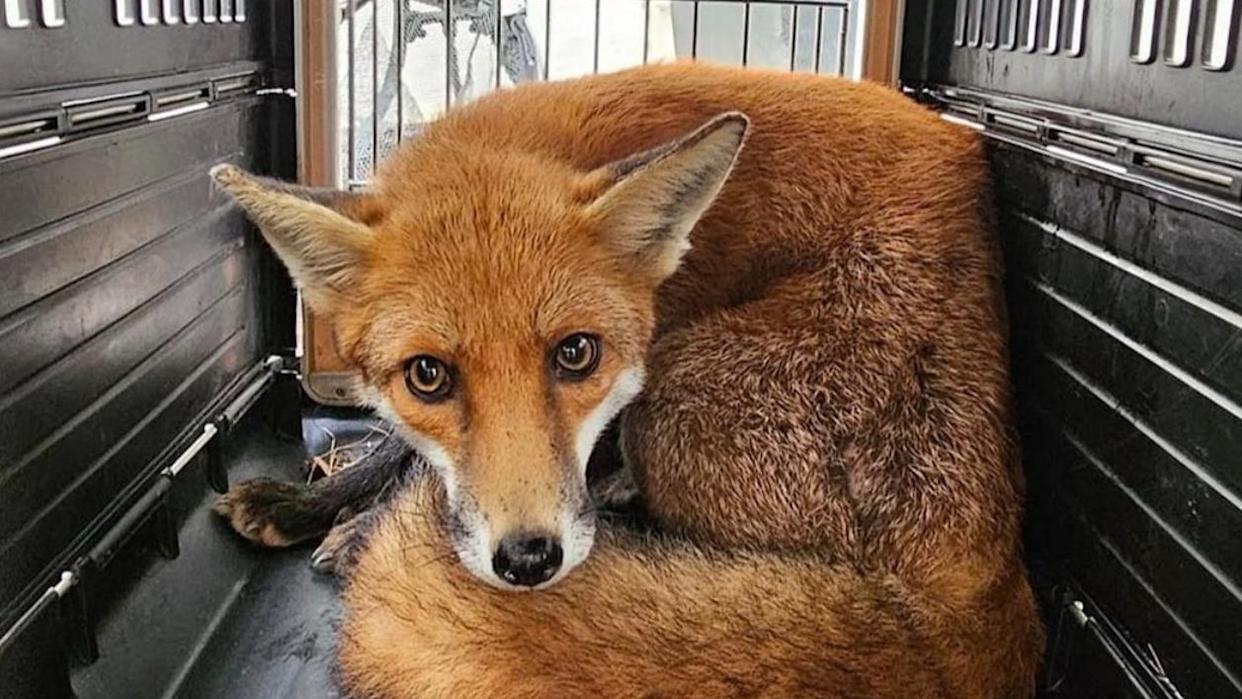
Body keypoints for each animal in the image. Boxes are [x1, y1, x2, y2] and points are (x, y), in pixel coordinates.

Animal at [211, 63, 1044, 697]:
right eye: (428, 375)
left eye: (576, 354)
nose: (527, 561)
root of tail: (973, 596)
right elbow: (396, 446)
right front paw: (305, 501)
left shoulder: (639, 366)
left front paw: (357, 526)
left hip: (679, 386)